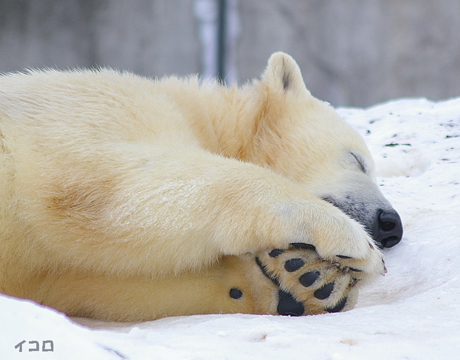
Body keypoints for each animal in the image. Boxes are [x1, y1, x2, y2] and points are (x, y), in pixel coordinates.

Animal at [0, 51, 402, 320]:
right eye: (357, 160)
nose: (391, 224)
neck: (203, 116)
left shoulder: (46, 272)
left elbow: (90, 284)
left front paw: (307, 277)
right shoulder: (96, 107)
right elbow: (100, 185)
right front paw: (350, 244)